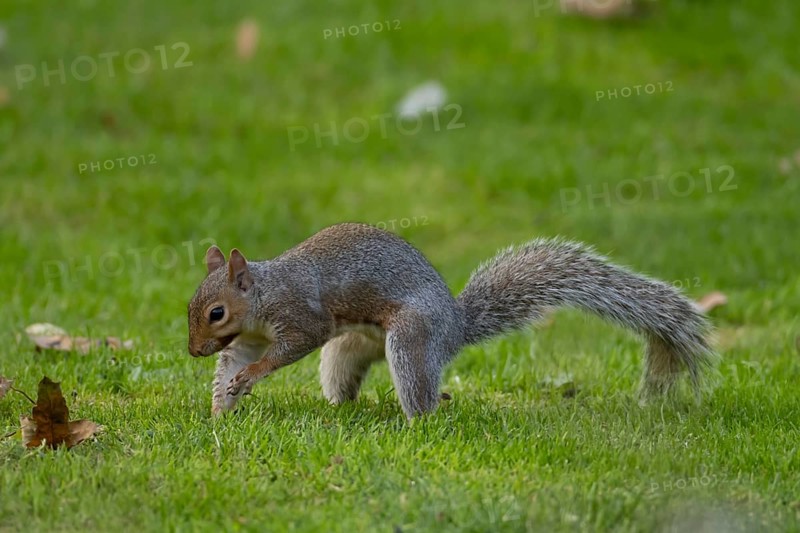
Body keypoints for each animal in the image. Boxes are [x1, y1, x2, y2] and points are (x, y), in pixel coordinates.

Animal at [187, 222, 715, 418]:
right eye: (191, 308)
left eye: (216, 312)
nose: (192, 351)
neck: (262, 296)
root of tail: (456, 327)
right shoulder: (247, 339)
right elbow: (233, 364)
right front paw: (219, 411)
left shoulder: (300, 314)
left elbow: (291, 346)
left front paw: (248, 381)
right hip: (352, 347)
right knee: (346, 374)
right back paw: (342, 409)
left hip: (409, 339)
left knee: (421, 394)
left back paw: (414, 421)